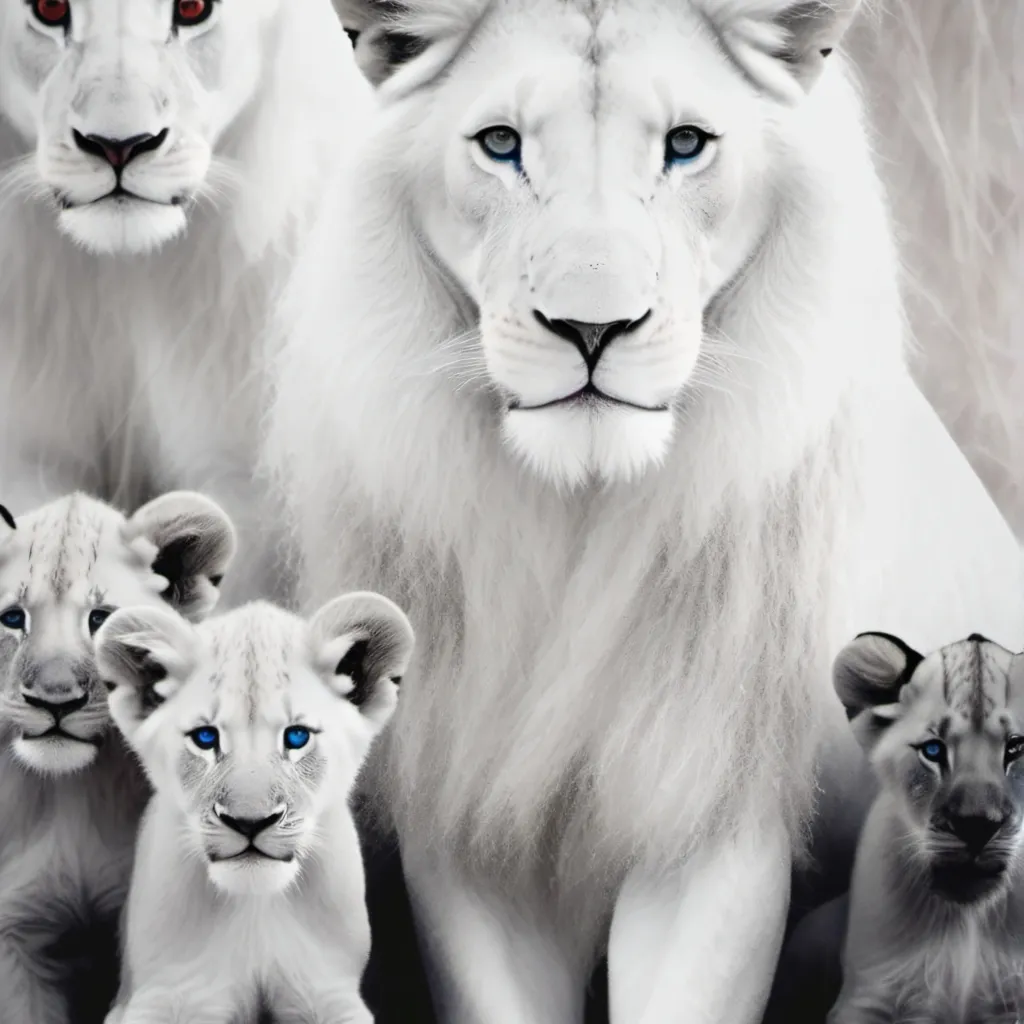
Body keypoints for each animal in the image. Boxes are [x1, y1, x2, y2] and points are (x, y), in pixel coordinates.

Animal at [0, 0, 374, 605]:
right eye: (51, 9)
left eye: (193, 9)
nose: (120, 145)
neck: (123, 277)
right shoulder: (24, 449)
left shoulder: (248, 477)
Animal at [95, 593, 414, 1024]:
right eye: (205, 737)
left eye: (296, 737)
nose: (249, 823)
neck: (254, 906)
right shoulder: (162, 993)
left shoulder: (328, 988)